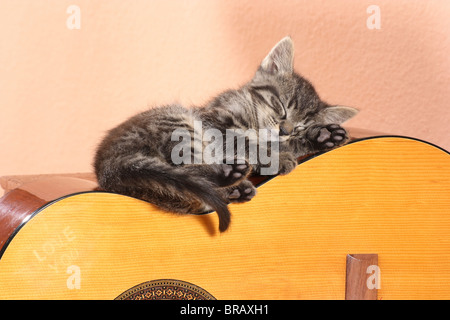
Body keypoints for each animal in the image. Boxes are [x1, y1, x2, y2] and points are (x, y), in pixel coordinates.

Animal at [95, 37, 358, 232]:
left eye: (301, 126)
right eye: (281, 106)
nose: (285, 130)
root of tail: (107, 166)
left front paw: (323, 136)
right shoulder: (214, 121)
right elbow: (241, 140)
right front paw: (277, 157)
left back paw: (235, 187)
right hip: (177, 122)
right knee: (190, 170)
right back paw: (229, 174)